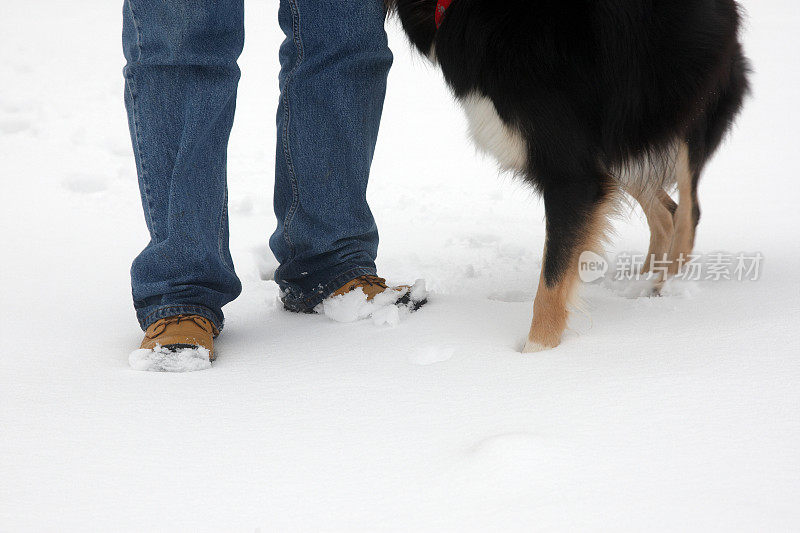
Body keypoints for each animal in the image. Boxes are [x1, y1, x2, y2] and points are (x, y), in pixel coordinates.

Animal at [388, 0, 752, 352]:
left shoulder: (571, 173)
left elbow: (552, 280)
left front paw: (535, 354)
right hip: (626, 132)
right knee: (667, 212)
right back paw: (642, 284)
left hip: (683, 107)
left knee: (689, 211)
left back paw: (666, 287)